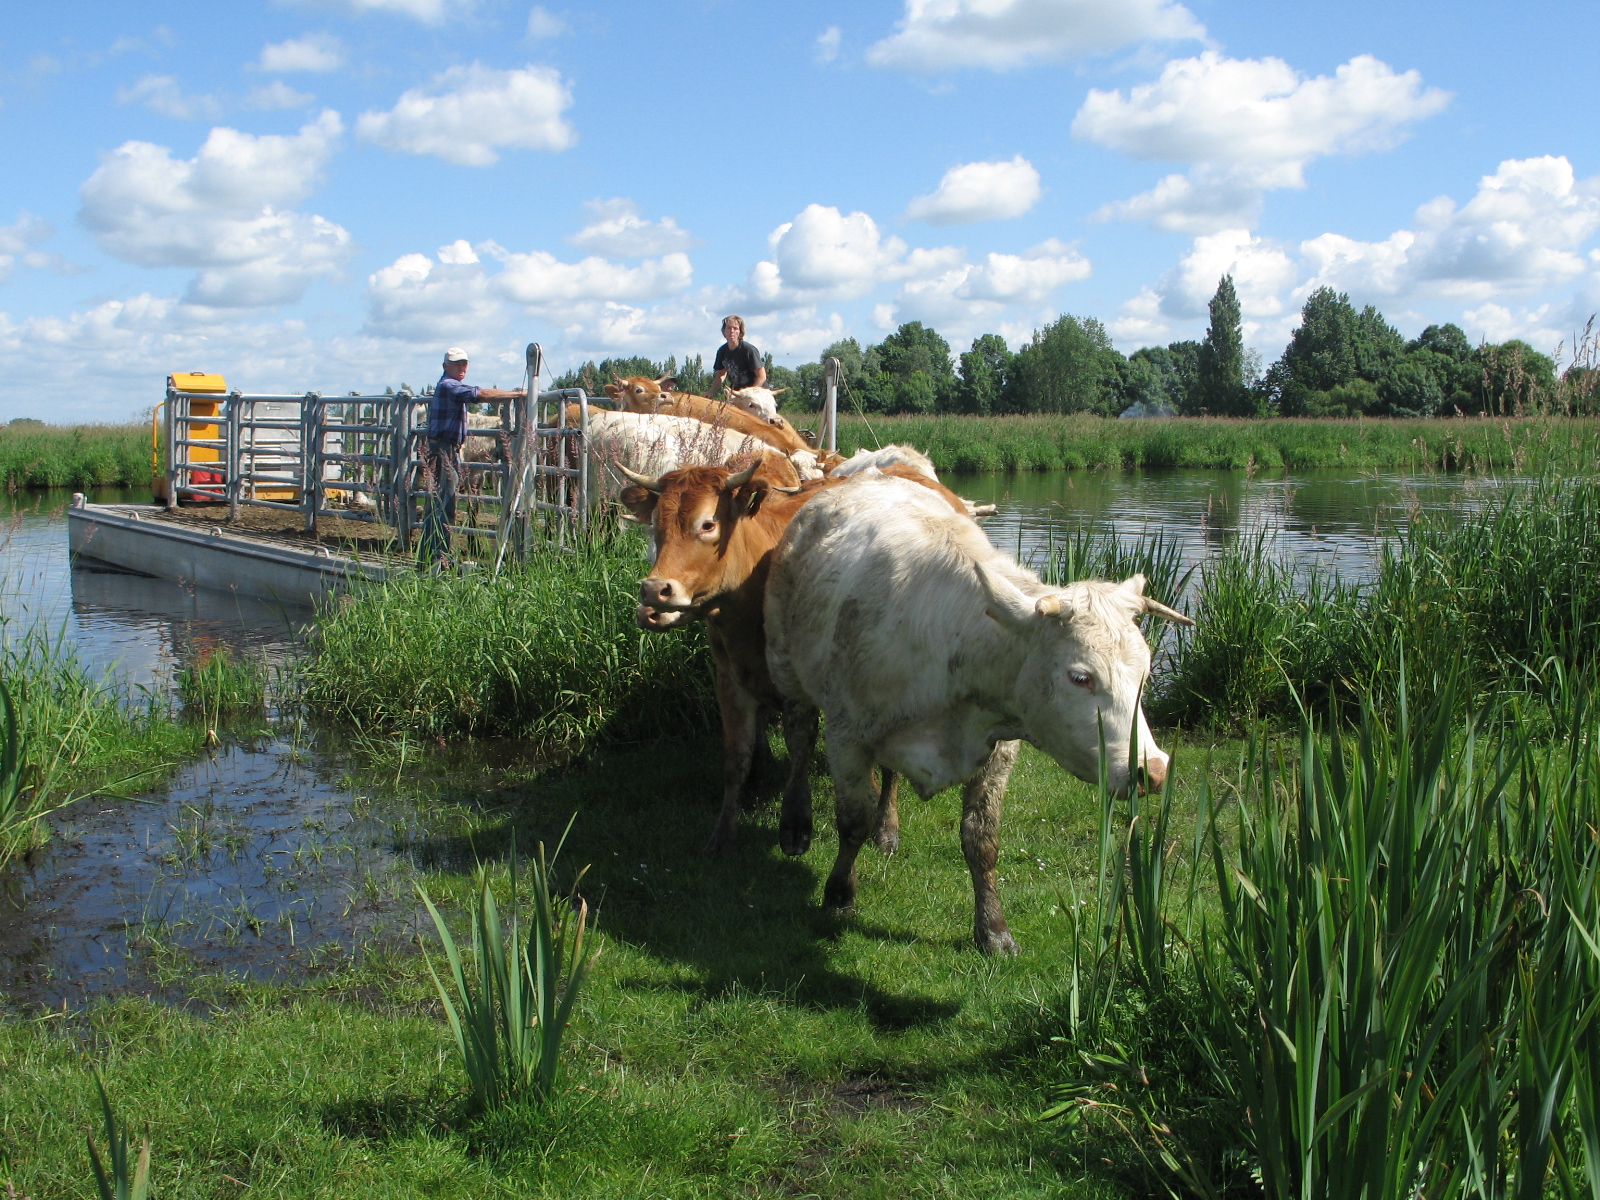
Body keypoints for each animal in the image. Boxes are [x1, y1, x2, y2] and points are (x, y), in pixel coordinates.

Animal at [620, 457, 972, 857]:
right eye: (655, 525)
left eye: (708, 524)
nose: (654, 594)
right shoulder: (730, 679)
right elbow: (736, 759)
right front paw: (722, 835)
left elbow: (803, 744)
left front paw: (796, 823)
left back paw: (887, 826)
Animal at [761, 473, 1190, 953]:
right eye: (1080, 676)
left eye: (1145, 673)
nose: (1152, 770)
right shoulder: (846, 736)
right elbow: (852, 820)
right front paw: (839, 895)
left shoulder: (998, 751)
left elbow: (982, 839)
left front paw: (994, 929)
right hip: (785, 664)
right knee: (800, 740)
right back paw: (795, 823)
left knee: (888, 776)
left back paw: (887, 828)